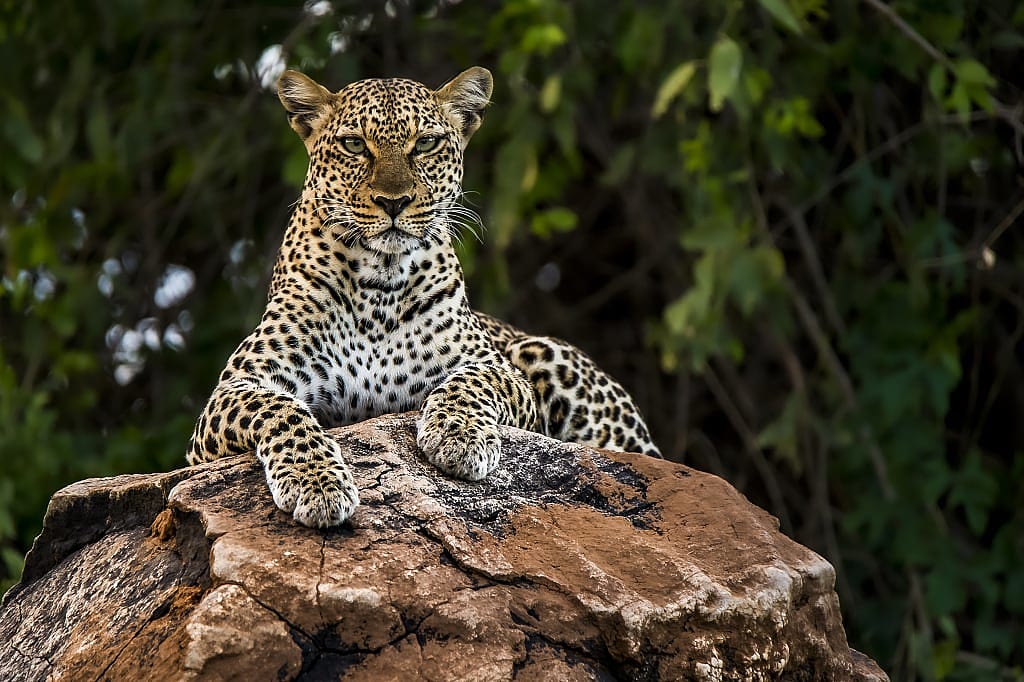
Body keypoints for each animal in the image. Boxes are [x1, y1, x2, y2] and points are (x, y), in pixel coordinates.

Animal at [187, 66, 660, 528]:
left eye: (426, 143)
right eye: (354, 145)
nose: (393, 202)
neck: (379, 284)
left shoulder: (501, 371)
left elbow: (470, 381)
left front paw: (458, 436)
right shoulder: (232, 392)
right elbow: (279, 409)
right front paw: (316, 482)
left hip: (542, 351)